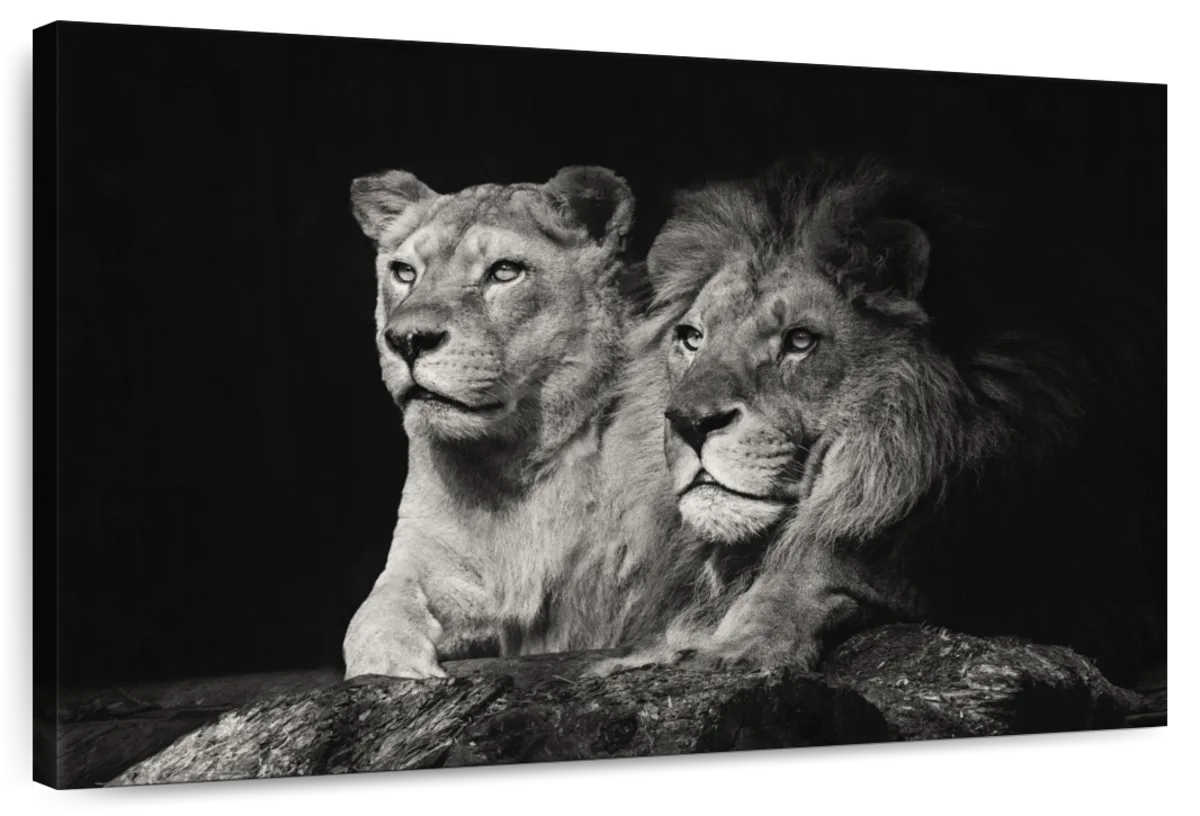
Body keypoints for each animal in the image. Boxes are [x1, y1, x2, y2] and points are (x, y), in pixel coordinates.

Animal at [342, 165, 689, 680]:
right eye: (404, 272)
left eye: (504, 271)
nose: (406, 340)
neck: (516, 460)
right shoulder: (427, 561)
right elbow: (372, 614)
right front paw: (393, 666)